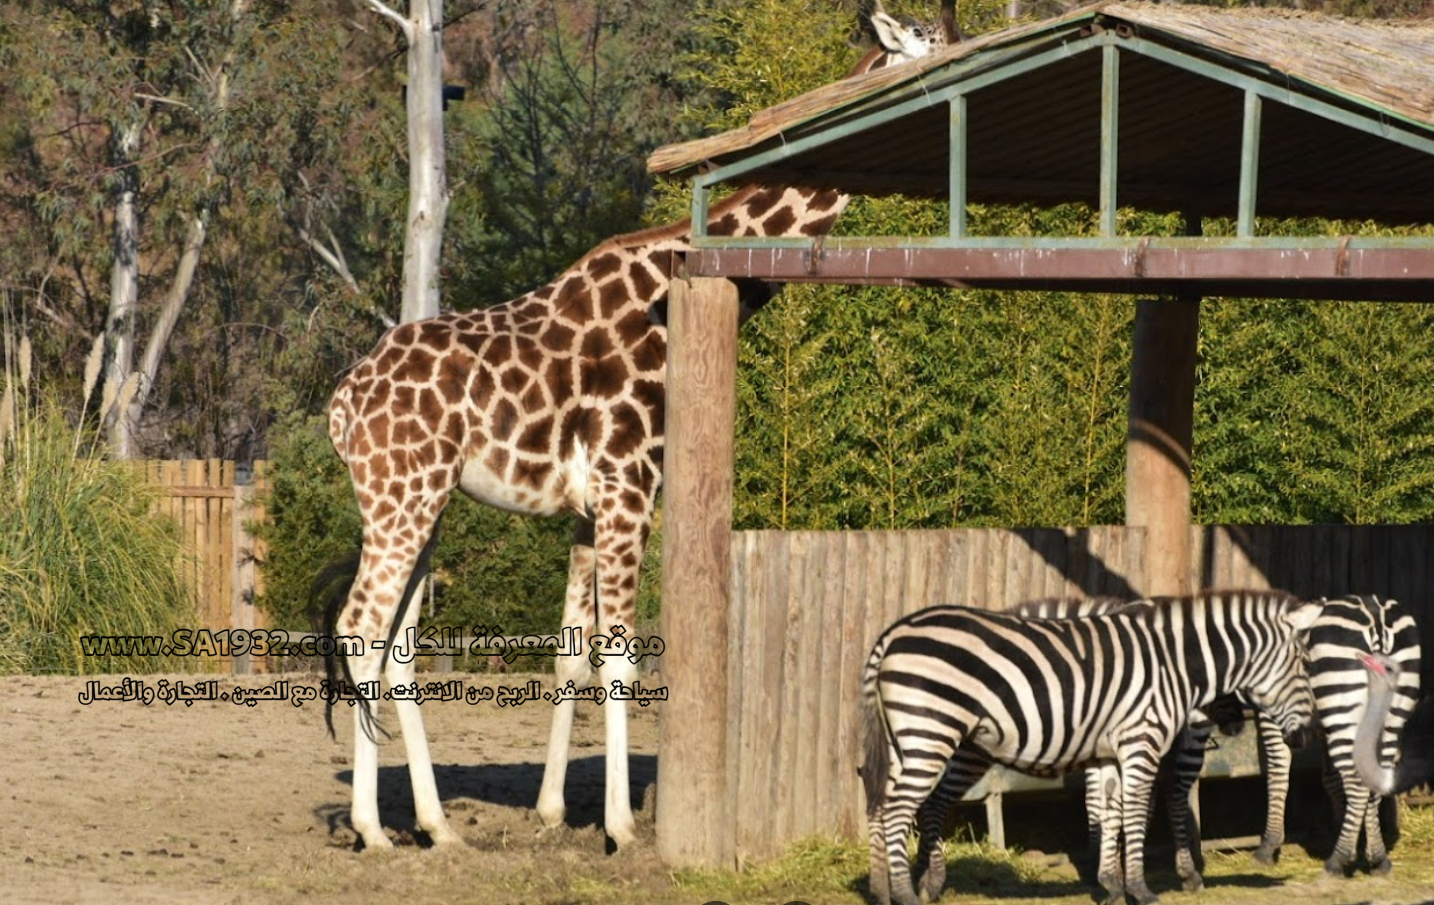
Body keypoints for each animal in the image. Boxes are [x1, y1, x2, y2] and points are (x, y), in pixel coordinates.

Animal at [319, 0, 957, 854]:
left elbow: (572, 655)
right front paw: (622, 824)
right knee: (361, 626)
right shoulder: (630, 488)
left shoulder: (589, 510)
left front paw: (555, 811)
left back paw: (437, 825)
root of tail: (343, 404)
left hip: (421, 503)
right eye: (928, 46)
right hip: (403, 497)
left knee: (396, 644)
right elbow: (622, 657)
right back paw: (376, 828)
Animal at [854, 590, 1313, 905]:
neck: (1172, 665)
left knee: (884, 807)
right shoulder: (1141, 739)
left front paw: (1111, 885)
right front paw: (1140, 890)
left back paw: (887, 891)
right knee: (897, 811)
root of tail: (893, 633)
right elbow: (1136, 812)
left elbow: (1110, 812)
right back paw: (906, 895)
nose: (1305, 736)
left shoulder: (1109, 751)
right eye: (1304, 666)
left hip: (907, 741)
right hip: (930, 731)